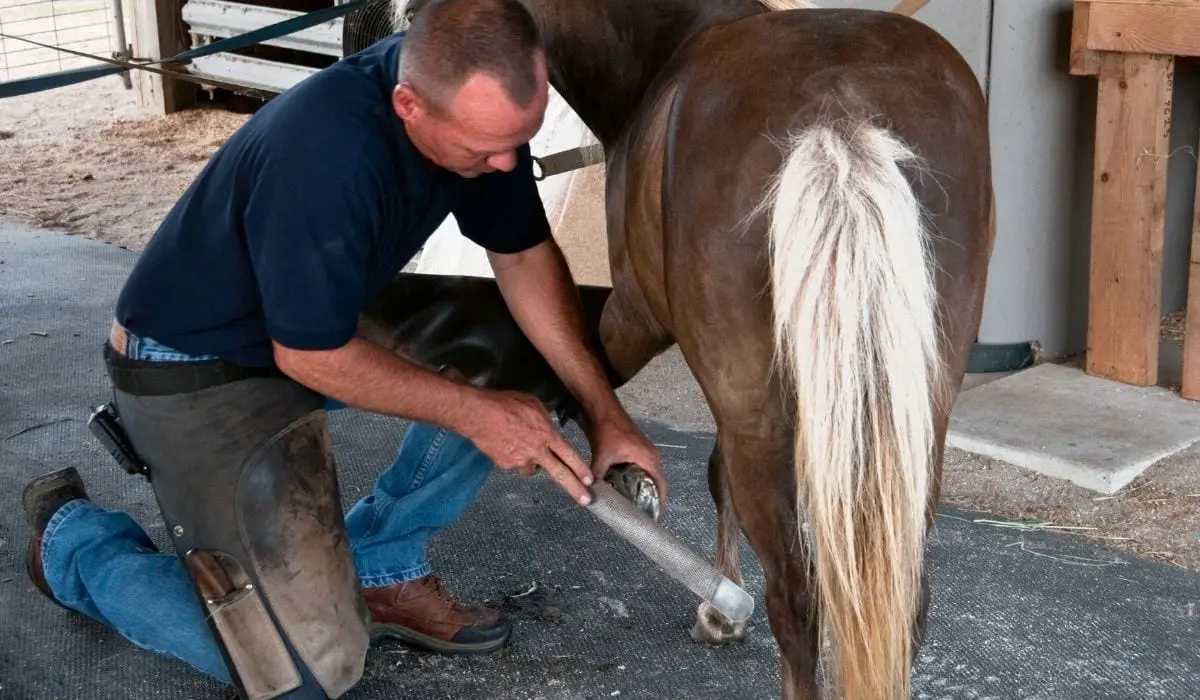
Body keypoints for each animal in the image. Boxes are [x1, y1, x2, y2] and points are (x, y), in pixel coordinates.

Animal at [369, 1, 994, 697]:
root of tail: (839, 118)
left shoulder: (637, 317)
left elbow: (586, 368)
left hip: (762, 415)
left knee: (796, 601)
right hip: (914, 418)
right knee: (901, 599)